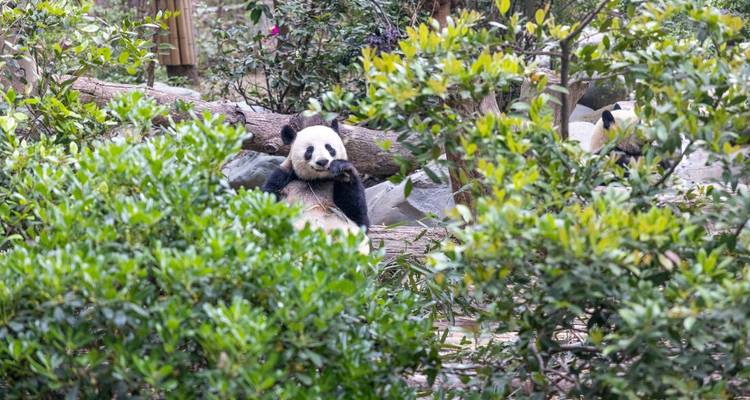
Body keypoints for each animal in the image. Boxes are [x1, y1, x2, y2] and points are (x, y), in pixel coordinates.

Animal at [261, 120, 370, 254]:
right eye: (309, 150)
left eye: (329, 147)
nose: (322, 161)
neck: (317, 180)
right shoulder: (283, 177)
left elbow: (359, 216)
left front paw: (343, 169)